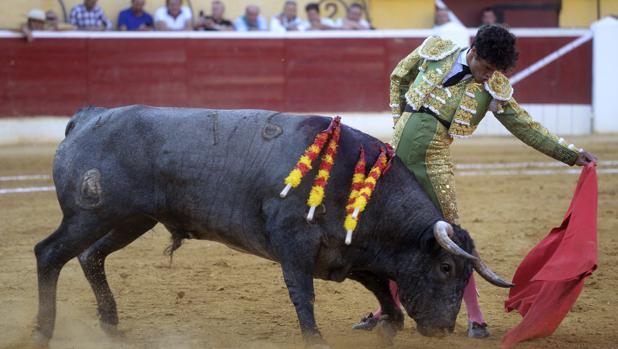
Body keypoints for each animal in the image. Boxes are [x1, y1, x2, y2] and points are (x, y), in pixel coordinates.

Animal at [31, 105, 510, 346]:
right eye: (446, 268)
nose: (443, 328)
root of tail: (86, 117)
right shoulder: (294, 245)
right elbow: (303, 294)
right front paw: (314, 339)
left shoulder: (351, 256)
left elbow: (387, 300)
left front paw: (387, 331)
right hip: (91, 215)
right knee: (49, 254)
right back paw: (42, 330)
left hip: (130, 219)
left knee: (90, 257)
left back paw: (111, 326)